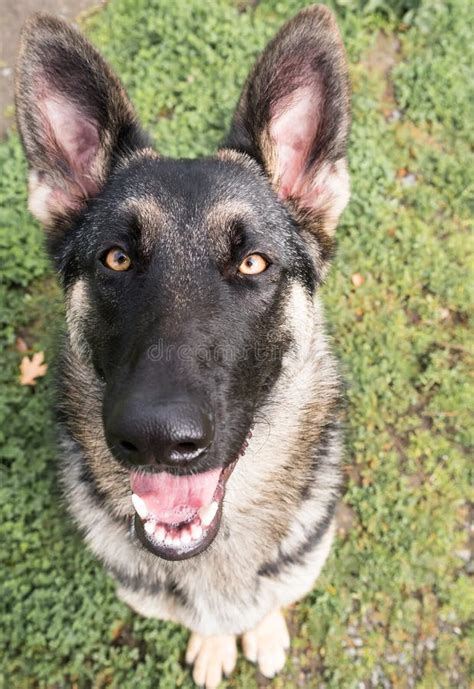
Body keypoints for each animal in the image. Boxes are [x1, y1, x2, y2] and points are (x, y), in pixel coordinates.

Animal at [15, 6, 348, 688]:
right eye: (116, 259)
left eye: (252, 263)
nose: (158, 438)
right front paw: (217, 642)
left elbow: (270, 599)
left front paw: (261, 629)